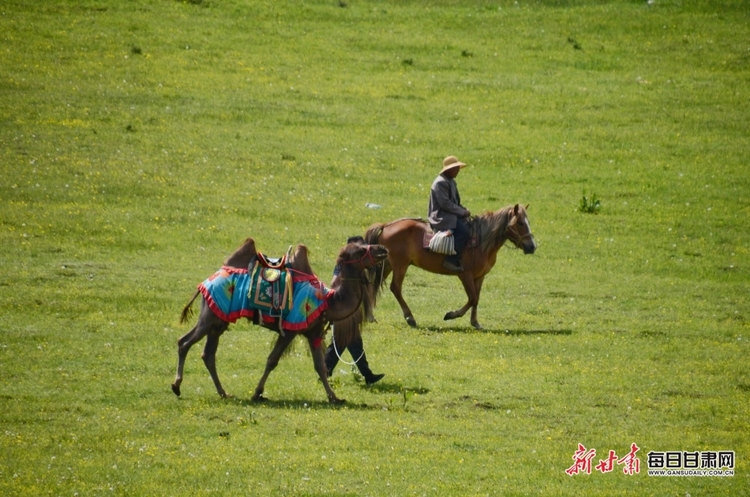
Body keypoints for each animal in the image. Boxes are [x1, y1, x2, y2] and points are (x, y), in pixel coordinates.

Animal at [174, 236, 390, 404]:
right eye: (360, 249)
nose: (383, 249)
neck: (328, 301)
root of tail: (208, 280)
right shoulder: (291, 329)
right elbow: (272, 360)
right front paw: (257, 393)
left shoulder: (313, 333)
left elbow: (320, 366)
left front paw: (334, 397)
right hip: (209, 315)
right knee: (184, 342)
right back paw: (176, 386)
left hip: (219, 319)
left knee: (208, 354)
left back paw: (223, 393)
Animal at [362, 203, 536, 332]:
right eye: (520, 223)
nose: (532, 247)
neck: (480, 241)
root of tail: (386, 225)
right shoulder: (465, 275)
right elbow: (472, 298)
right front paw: (451, 314)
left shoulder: (479, 276)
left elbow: (477, 299)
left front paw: (475, 322)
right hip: (400, 265)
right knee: (395, 288)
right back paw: (410, 317)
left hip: (388, 265)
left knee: (373, 285)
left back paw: (371, 316)